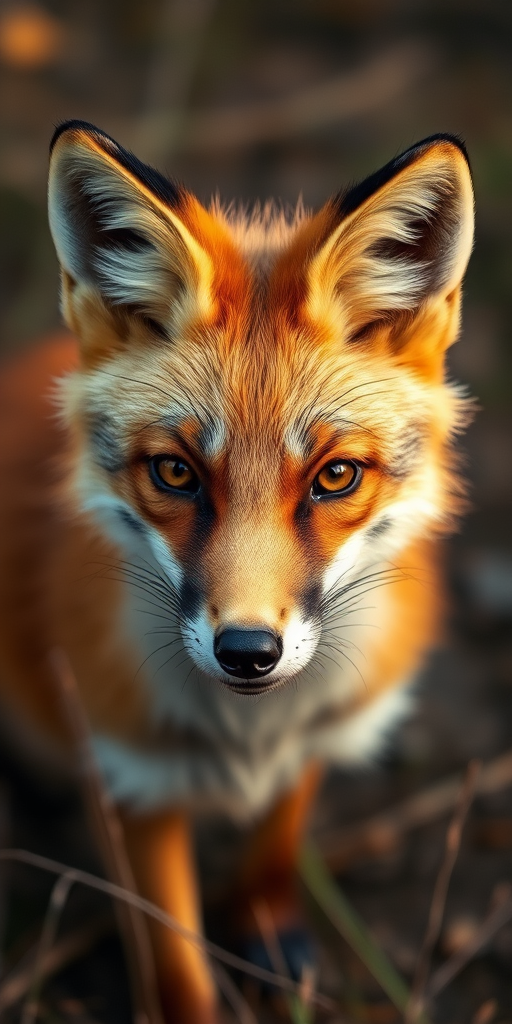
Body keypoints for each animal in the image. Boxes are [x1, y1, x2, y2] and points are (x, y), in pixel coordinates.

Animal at [0, 121, 474, 1022]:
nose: (249, 652)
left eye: (335, 477)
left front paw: (262, 921)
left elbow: (277, 837)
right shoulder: (132, 773)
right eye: (176, 473)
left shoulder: (325, 718)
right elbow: (176, 962)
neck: (248, 737)